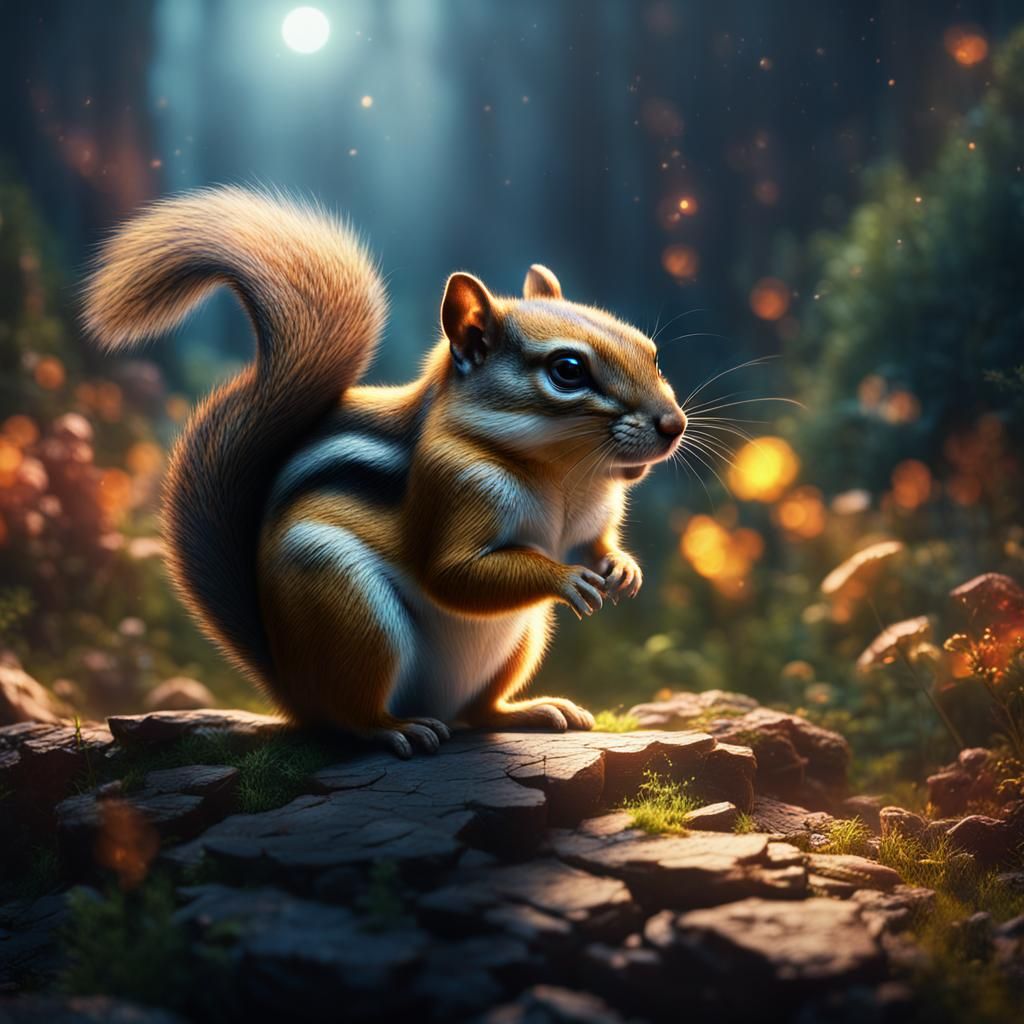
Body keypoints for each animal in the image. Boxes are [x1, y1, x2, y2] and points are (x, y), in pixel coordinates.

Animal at [83, 187, 687, 757]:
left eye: (652, 353)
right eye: (567, 370)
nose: (673, 424)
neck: (564, 474)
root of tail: (289, 688)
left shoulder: (592, 520)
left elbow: (595, 545)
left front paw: (622, 569)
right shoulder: (452, 489)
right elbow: (454, 574)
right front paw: (568, 578)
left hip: (524, 637)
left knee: (479, 711)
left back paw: (535, 710)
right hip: (348, 611)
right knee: (350, 716)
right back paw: (395, 730)